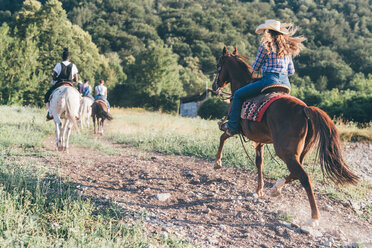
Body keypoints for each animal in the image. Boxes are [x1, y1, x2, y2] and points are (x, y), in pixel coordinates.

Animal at [214, 46, 358, 225]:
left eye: (218, 66)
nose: (215, 86)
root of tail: (304, 109)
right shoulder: (260, 140)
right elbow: (259, 163)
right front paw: (259, 190)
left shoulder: (234, 128)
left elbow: (223, 137)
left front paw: (217, 163)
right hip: (299, 152)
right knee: (296, 173)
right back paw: (276, 188)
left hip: (285, 152)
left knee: (304, 176)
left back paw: (314, 217)